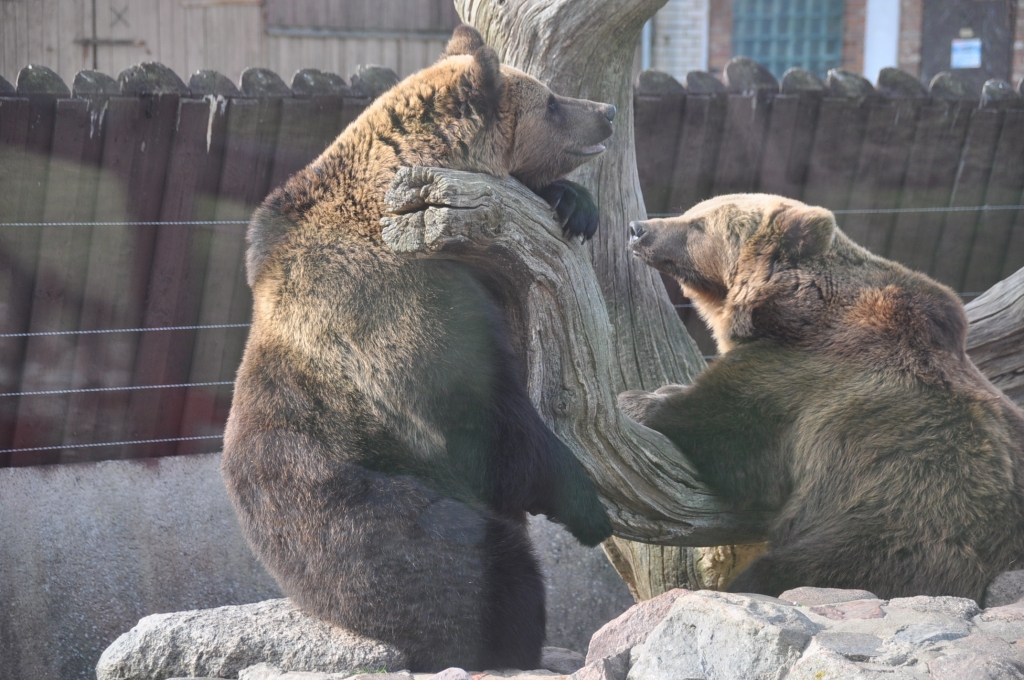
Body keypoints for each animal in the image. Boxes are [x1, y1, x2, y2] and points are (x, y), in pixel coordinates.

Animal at [221, 23, 610, 671]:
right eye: (552, 102)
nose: (606, 112)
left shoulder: (478, 266)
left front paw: (576, 204)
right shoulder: (392, 299)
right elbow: (478, 414)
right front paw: (588, 501)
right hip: (361, 508)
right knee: (477, 569)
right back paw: (511, 639)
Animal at [614, 193, 1024, 602]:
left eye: (698, 223)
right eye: (693, 211)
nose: (637, 228)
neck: (790, 309)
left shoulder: (806, 376)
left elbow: (728, 428)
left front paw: (636, 401)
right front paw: (660, 390)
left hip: (894, 528)